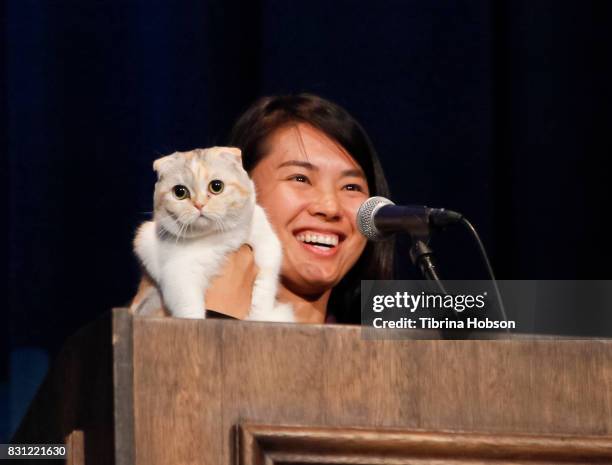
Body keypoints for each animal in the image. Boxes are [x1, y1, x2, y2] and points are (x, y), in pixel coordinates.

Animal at [133, 147, 294, 320]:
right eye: (180, 192)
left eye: (216, 186)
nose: (199, 204)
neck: (221, 237)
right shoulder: (179, 274)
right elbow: (190, 310)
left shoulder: (268, 244)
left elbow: (265, 283)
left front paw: (259, 314)